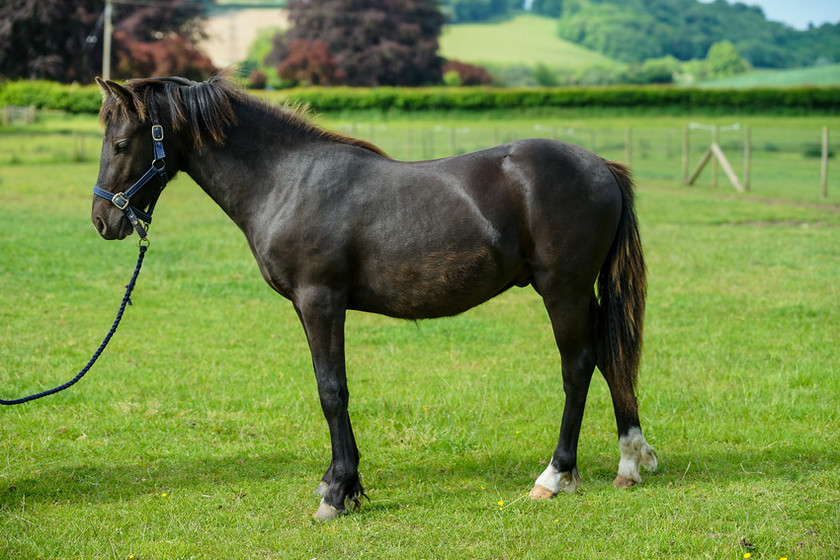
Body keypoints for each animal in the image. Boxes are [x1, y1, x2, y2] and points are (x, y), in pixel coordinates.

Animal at [92, 75, 656, 520]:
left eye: (120, 144)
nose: (103, 221)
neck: (287, 180)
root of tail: (601, 166)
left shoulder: (321, 301)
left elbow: (332, 391)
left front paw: (338, 494)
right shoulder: (309, 307)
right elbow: (329, 389)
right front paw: (337, 482)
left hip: (563, 290)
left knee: (578, 367)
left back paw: (554, 477)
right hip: (582, 294)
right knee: (609, 357)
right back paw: (630, 462)